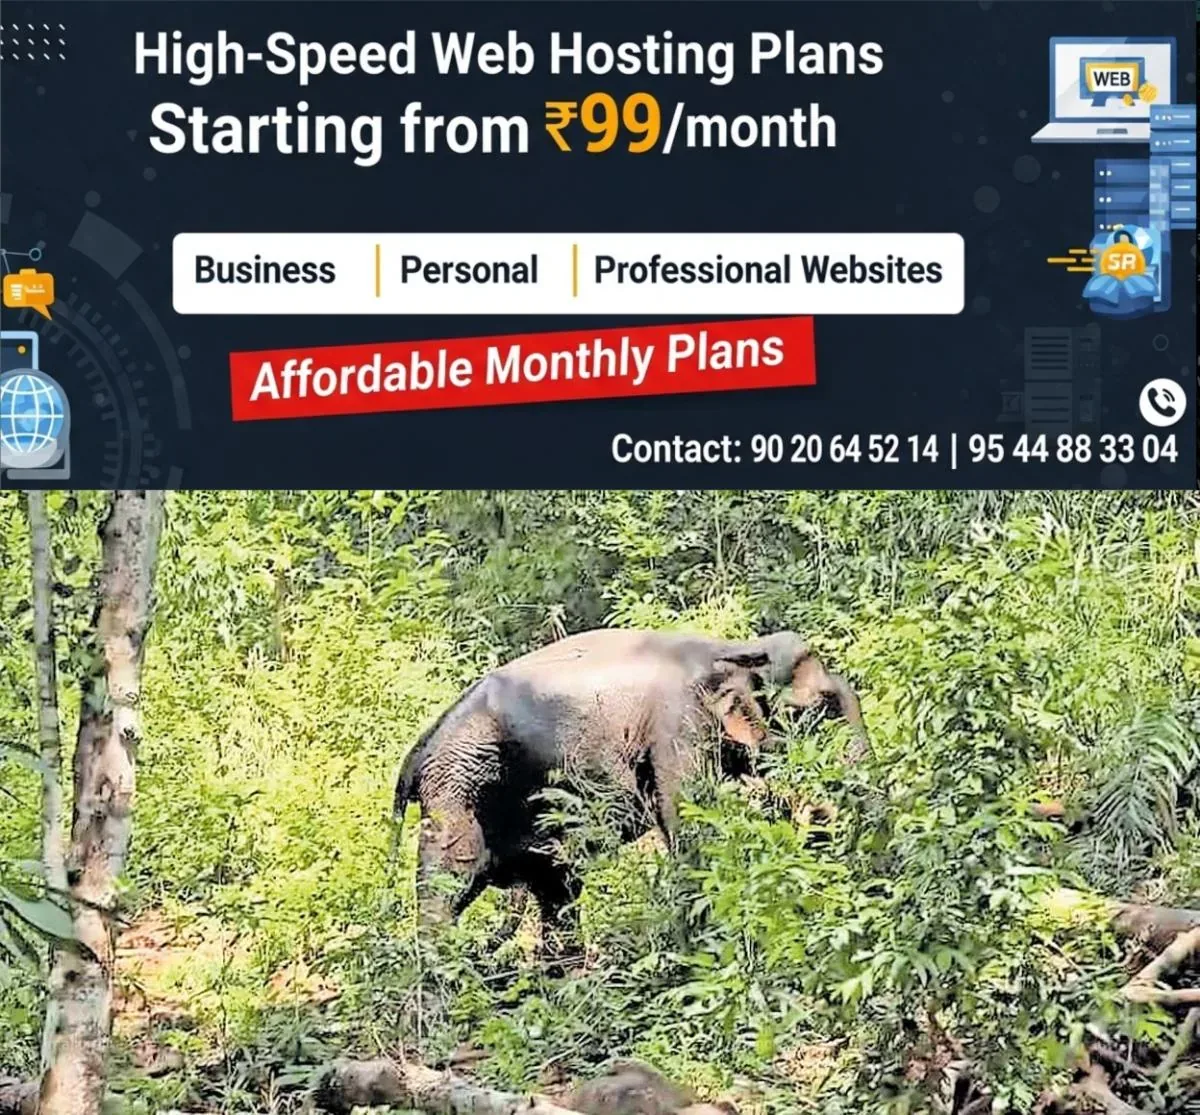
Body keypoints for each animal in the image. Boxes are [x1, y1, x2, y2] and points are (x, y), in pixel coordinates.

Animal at [392, 628, 866, 925]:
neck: (735, 648)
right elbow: (690, 824)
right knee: (450, 885)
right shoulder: (676, 727)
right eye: (821, 710)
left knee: (556, 887)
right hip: (456, 790)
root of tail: (418, 750)